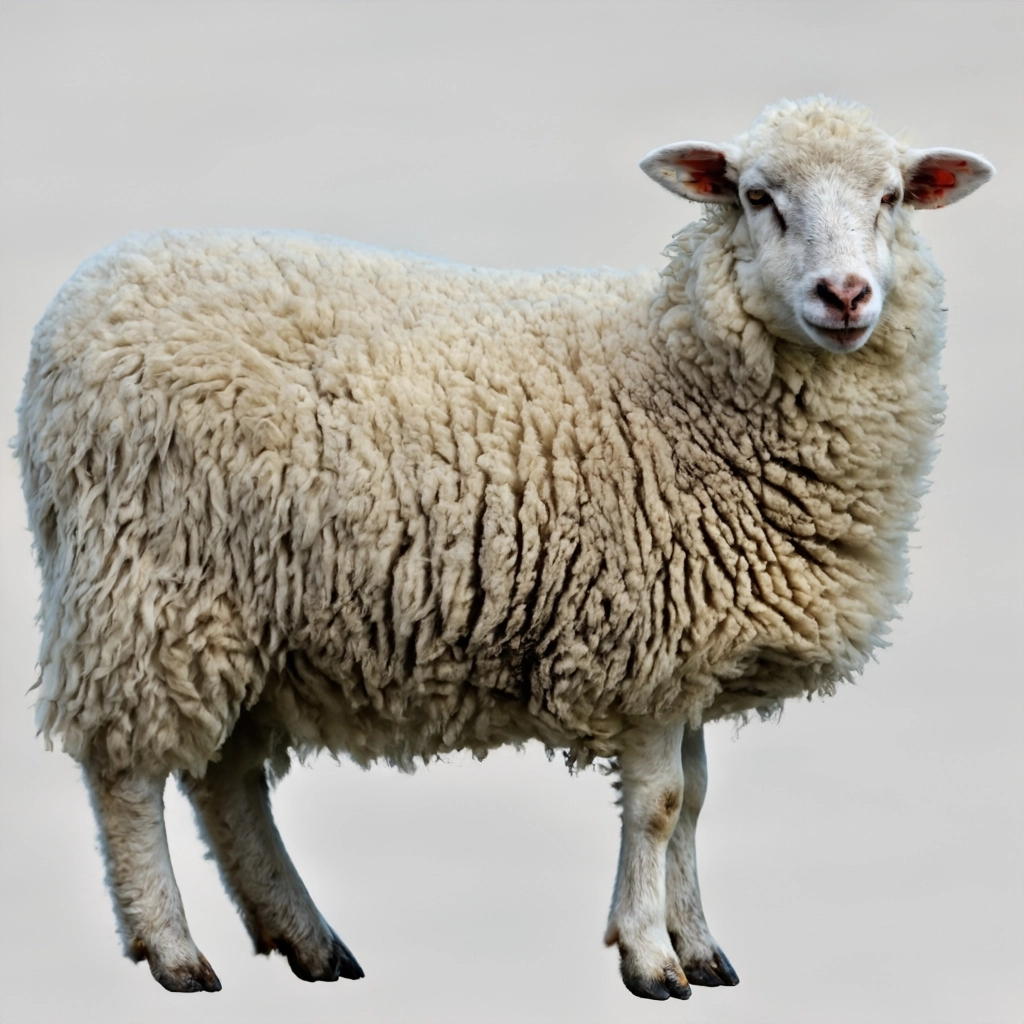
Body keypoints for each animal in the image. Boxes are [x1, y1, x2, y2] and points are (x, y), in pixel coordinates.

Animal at [15, 96, 993, 1001]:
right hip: (151, 586)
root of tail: (82, 299)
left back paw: (305, 938)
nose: (846, 295)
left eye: (891, 196)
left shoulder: (687, 652)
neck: (678, 379)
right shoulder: (647, 641)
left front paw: (700, 946)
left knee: (226, 780)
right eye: (758, 197)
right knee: (128, 775)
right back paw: (173, 950)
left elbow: (697, 801)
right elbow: (661, 806)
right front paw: (650, 958)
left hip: (242, 610)